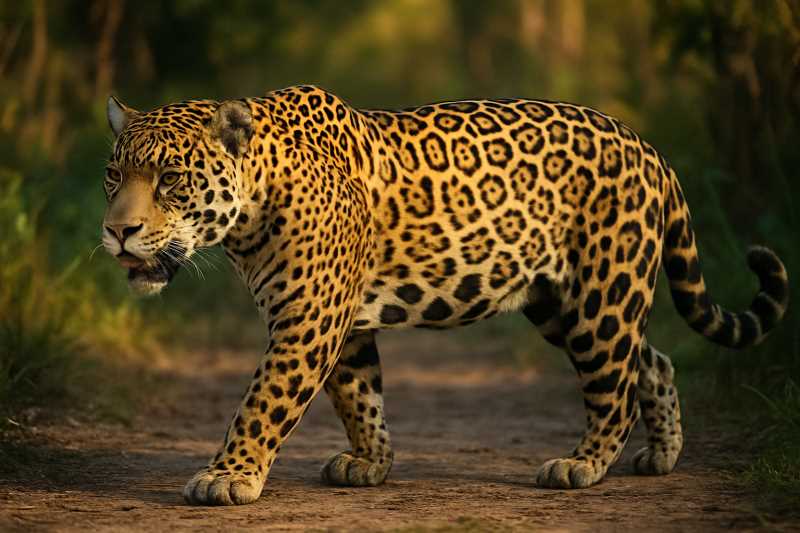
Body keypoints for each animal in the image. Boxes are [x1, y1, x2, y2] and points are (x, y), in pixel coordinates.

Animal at [100, 84, 789, 506]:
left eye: (170, 178)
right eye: (114, 175)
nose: (116, 230)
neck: (251, 209)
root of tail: (650, 149)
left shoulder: (308, 321)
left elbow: (262, 402)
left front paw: (228, 476)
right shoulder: (344, 323)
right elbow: (359, 395)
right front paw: (371, 463)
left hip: (602, 293)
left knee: (613, 384)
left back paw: (583, 465)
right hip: (559, 300)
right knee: (652, 358)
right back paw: (662, 453)